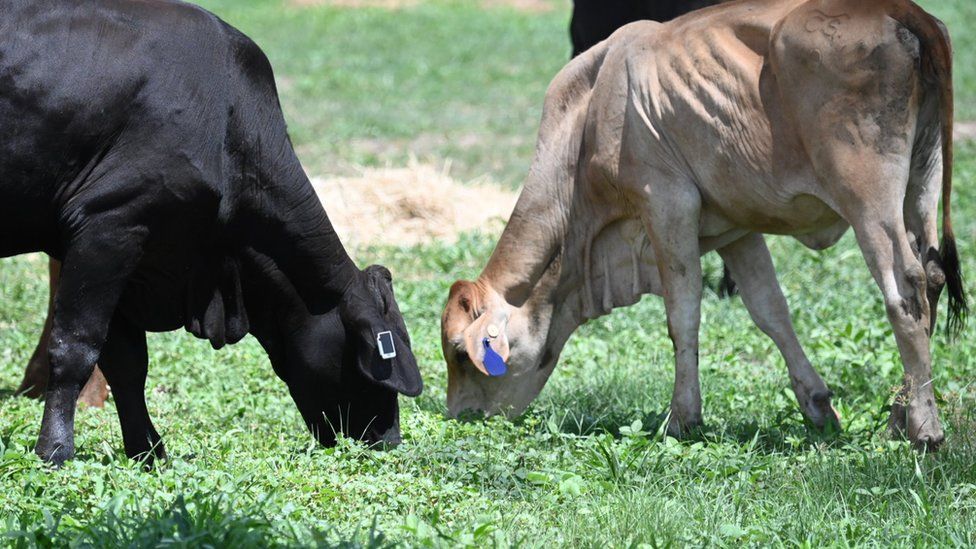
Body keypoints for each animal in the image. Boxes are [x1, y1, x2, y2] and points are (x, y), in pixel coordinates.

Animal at [0, 0, 420, 464]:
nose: (388, 439)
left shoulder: (129, 250)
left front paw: (148, 451)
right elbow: (76, 346)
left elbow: (127, 363)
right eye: (375, 367)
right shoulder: (109, 226)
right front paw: (55, 450)